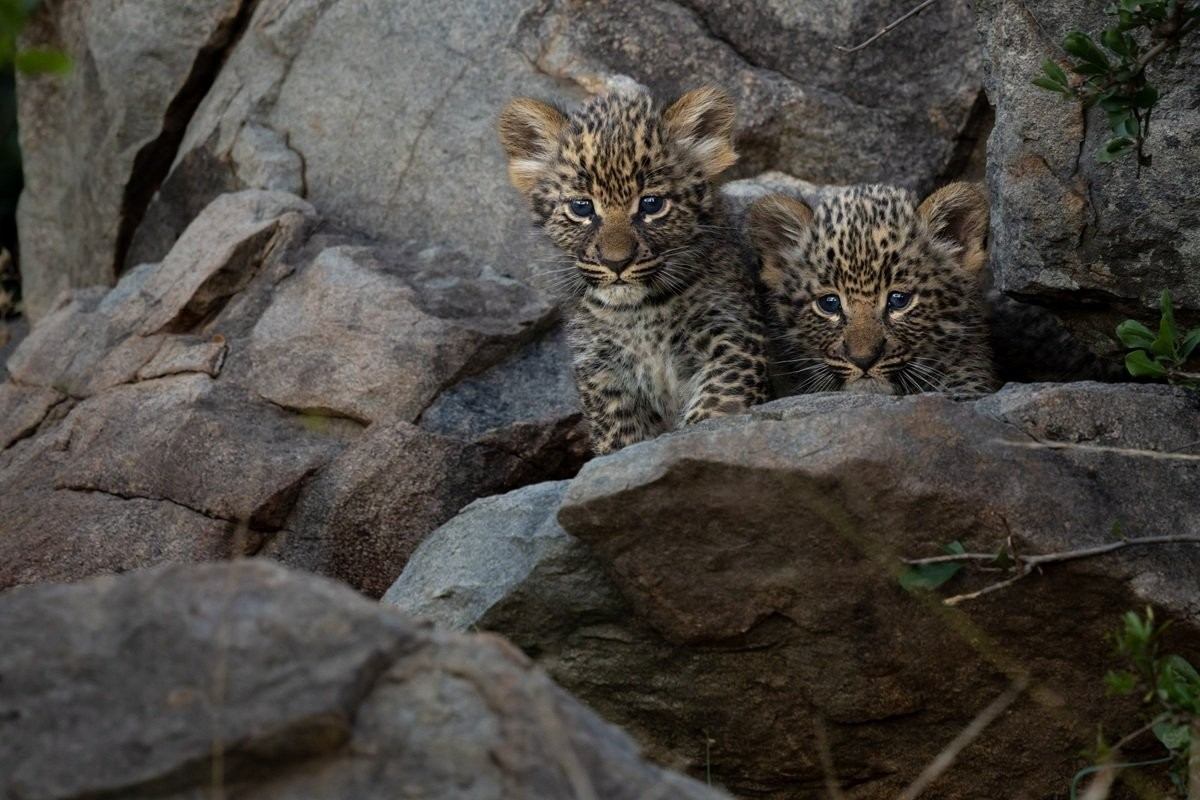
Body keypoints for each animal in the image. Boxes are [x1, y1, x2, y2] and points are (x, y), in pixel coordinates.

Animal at [498, 85, 769, 454]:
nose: (616, 262)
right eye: (581, 208)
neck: (640, 314)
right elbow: (620, 437)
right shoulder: (602, 370)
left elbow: (718, 408)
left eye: (652, 205)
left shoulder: (732, 338)